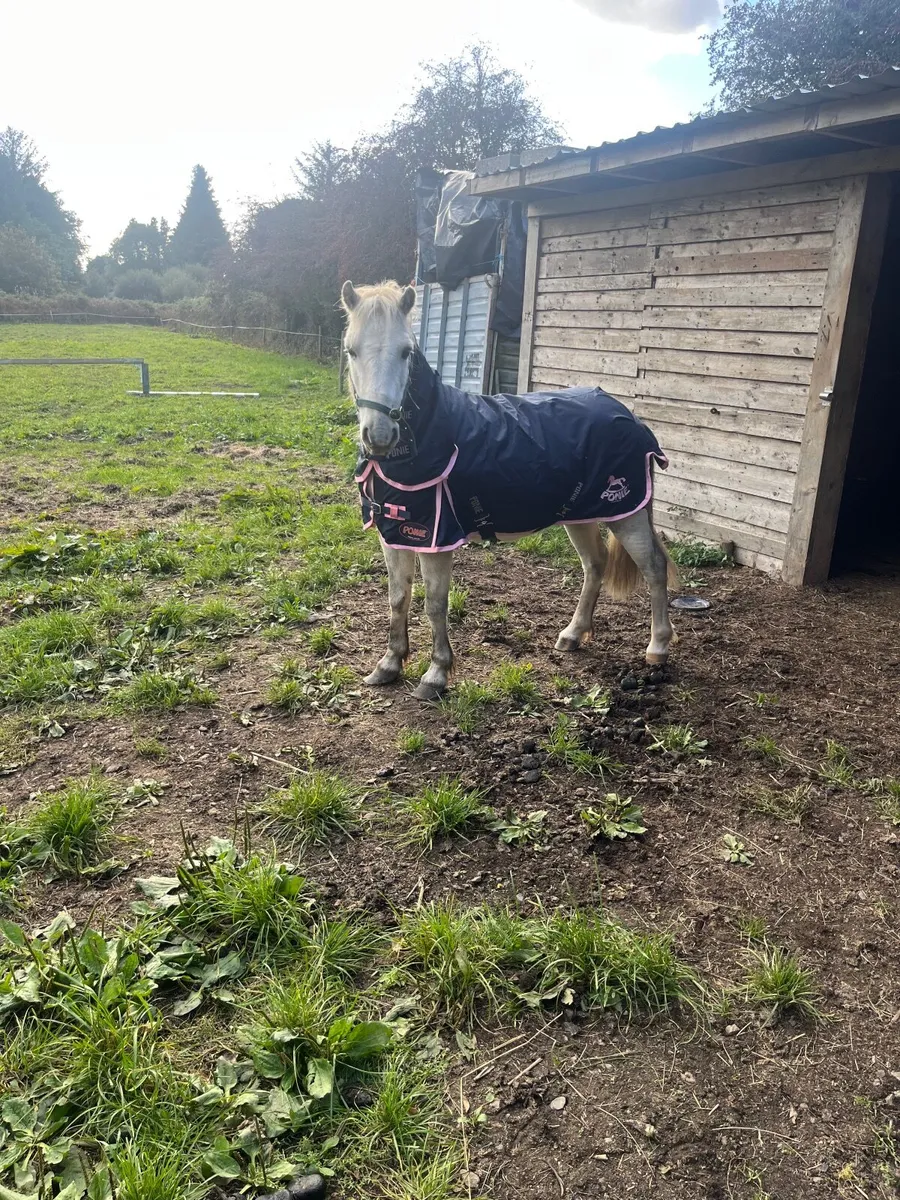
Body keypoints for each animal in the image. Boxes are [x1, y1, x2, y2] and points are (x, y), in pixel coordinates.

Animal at [341, 279, 677, 702]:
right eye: (351, 350)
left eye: (405, 351)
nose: (380, 436)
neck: (429, 437)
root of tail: (627, 413)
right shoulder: (396, 533)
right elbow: (397, 598)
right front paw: (388, 664)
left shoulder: (437, 540)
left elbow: (434, 603)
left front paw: (435, 674)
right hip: (580, 514)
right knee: (595, 563)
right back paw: (572, 635)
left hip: (626, 512)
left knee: (653, 567)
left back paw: (658, 647)